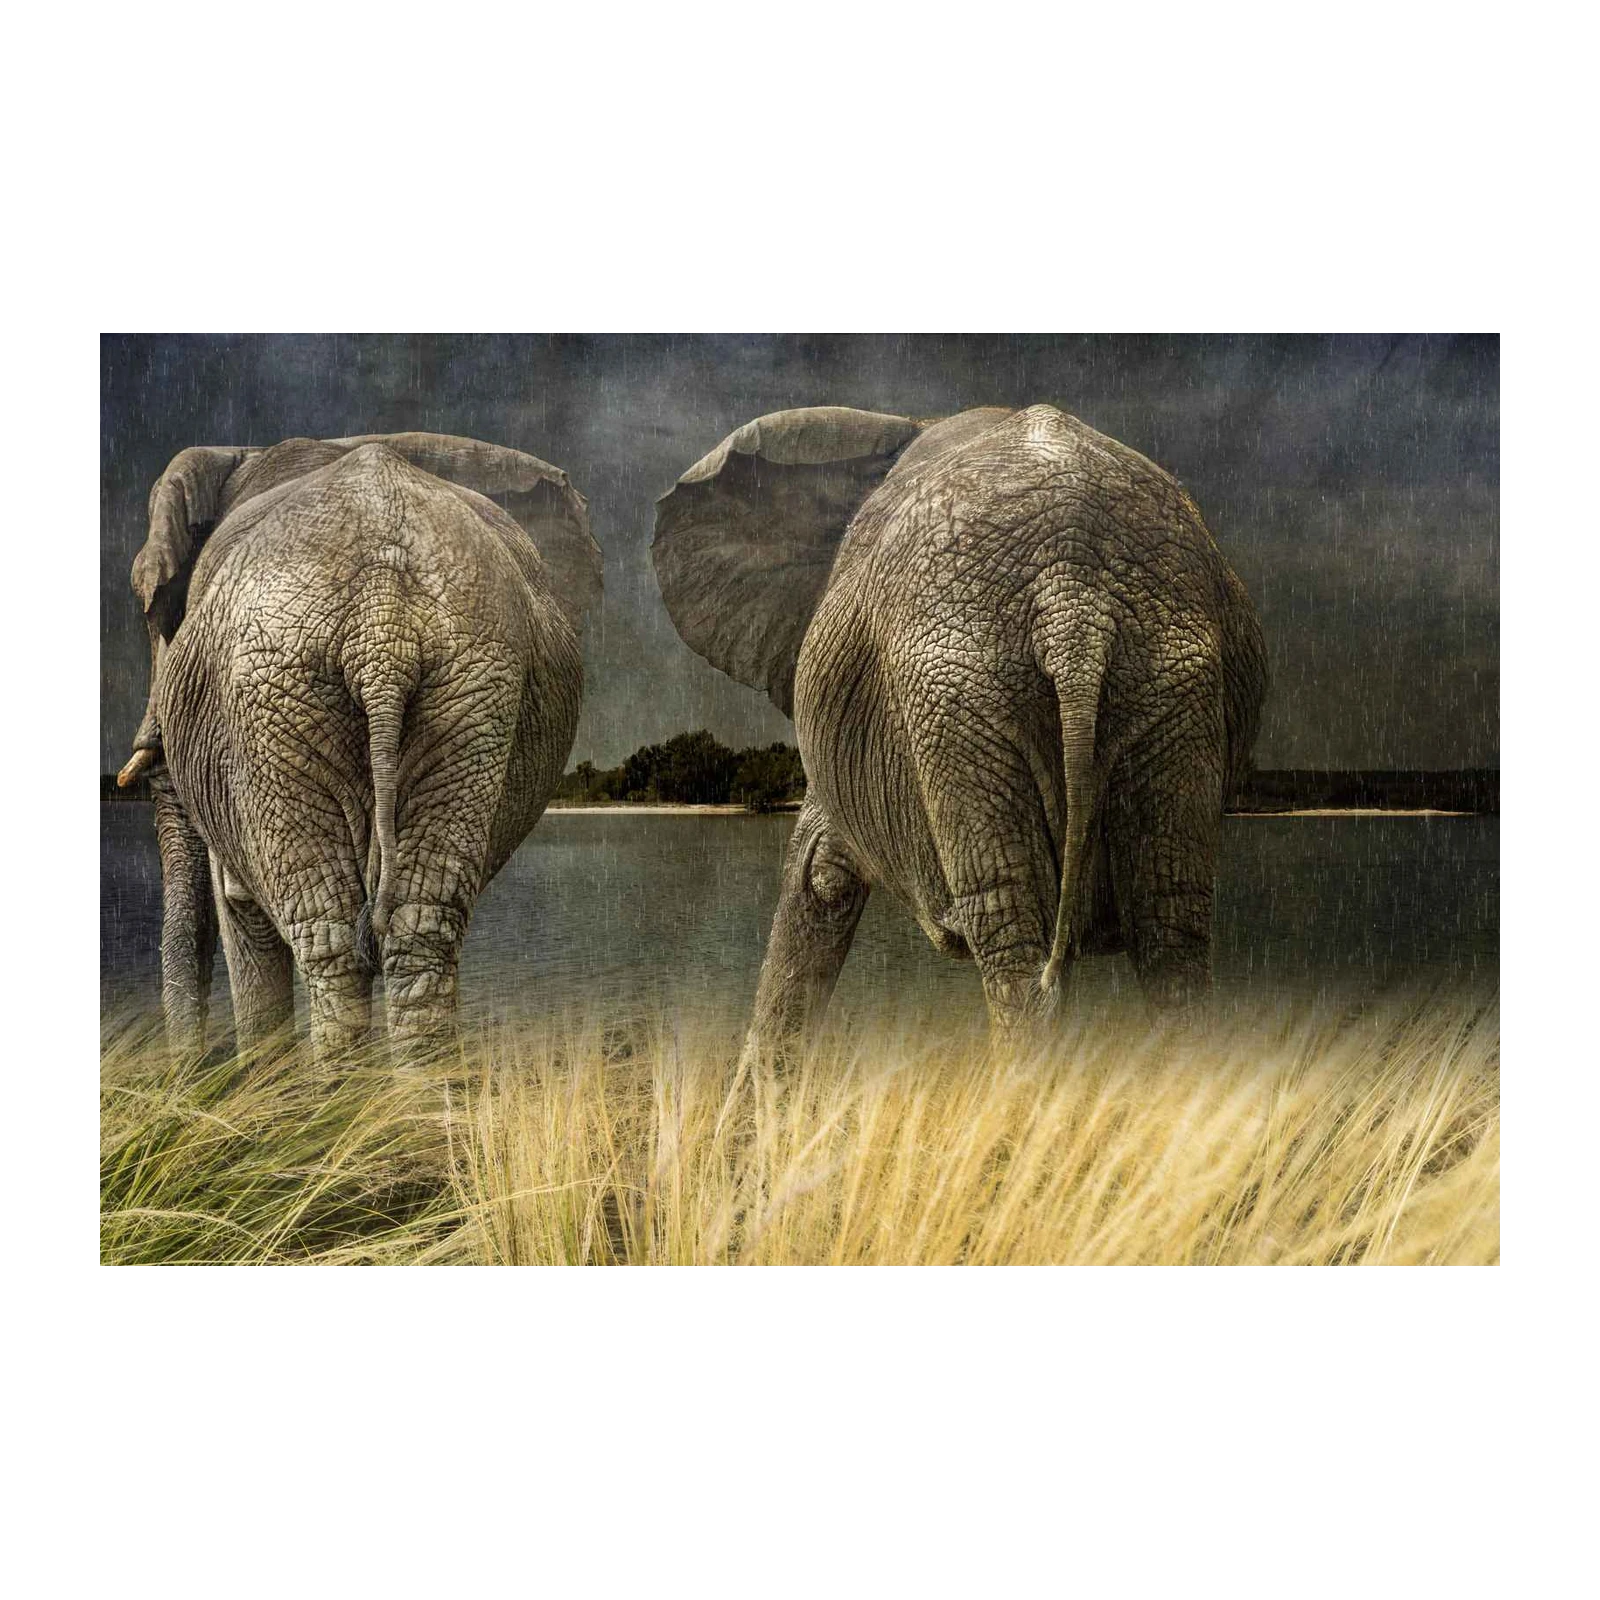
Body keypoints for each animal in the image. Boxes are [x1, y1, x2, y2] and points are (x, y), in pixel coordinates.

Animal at [116, 432, 602, 1061]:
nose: (192, 1075)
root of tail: (382, 623)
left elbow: (239, 908)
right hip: (469, 686)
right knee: (421, 925)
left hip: (276, 691)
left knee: (329, 938)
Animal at [652, 404, 1267, 1056]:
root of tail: (1073, 602)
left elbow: (815, 876)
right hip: (1163, 681)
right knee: (1167, 923)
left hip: (959, 689)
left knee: (1013, 927)